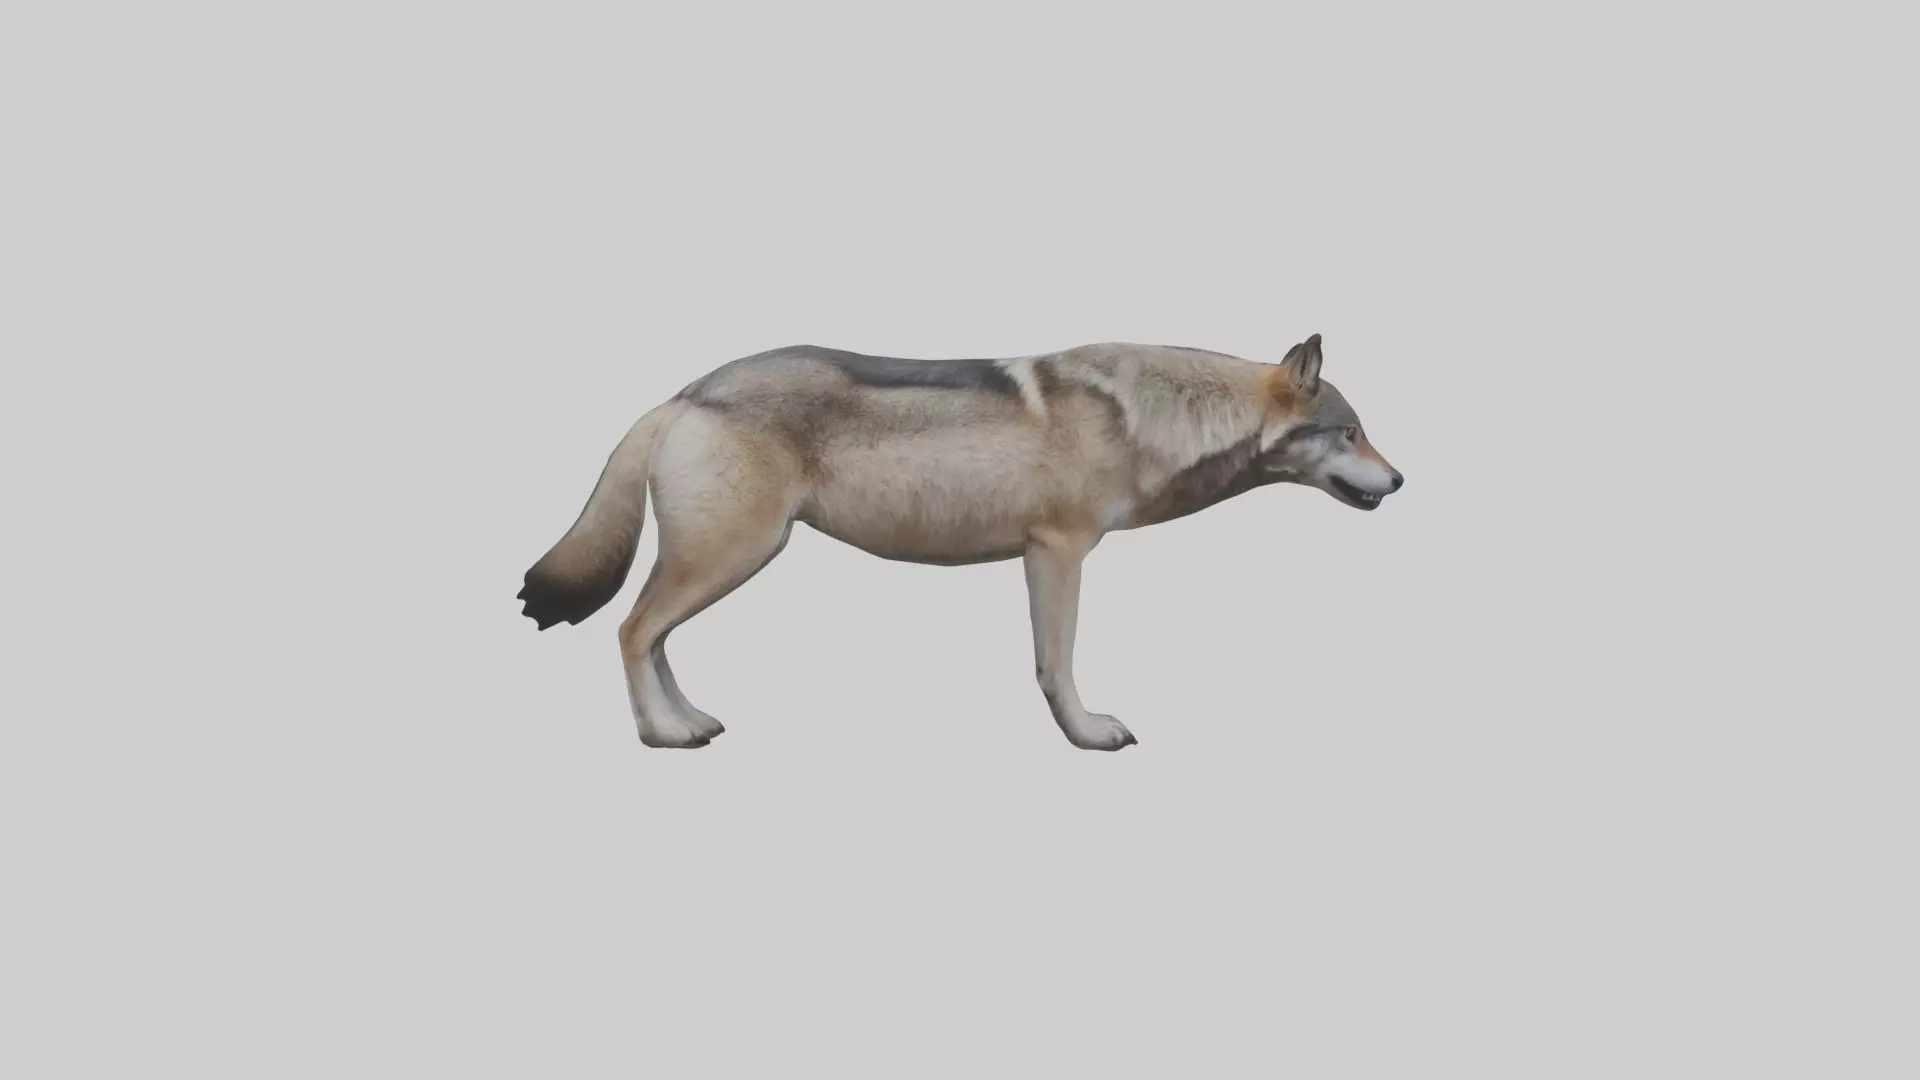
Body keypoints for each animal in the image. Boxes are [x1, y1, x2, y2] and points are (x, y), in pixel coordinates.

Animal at [518, 334, 1402, 750]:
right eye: (1350, 432)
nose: (1400, 481)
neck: (1150, 419)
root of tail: (682, 393)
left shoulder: (1045, 556)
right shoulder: (1057, 551)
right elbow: (1057, 668)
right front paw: (1087, 736)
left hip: (727, 560)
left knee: (652, 639)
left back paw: (688, 719)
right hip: (731, 556)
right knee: (631, 631)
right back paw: (662, 735)